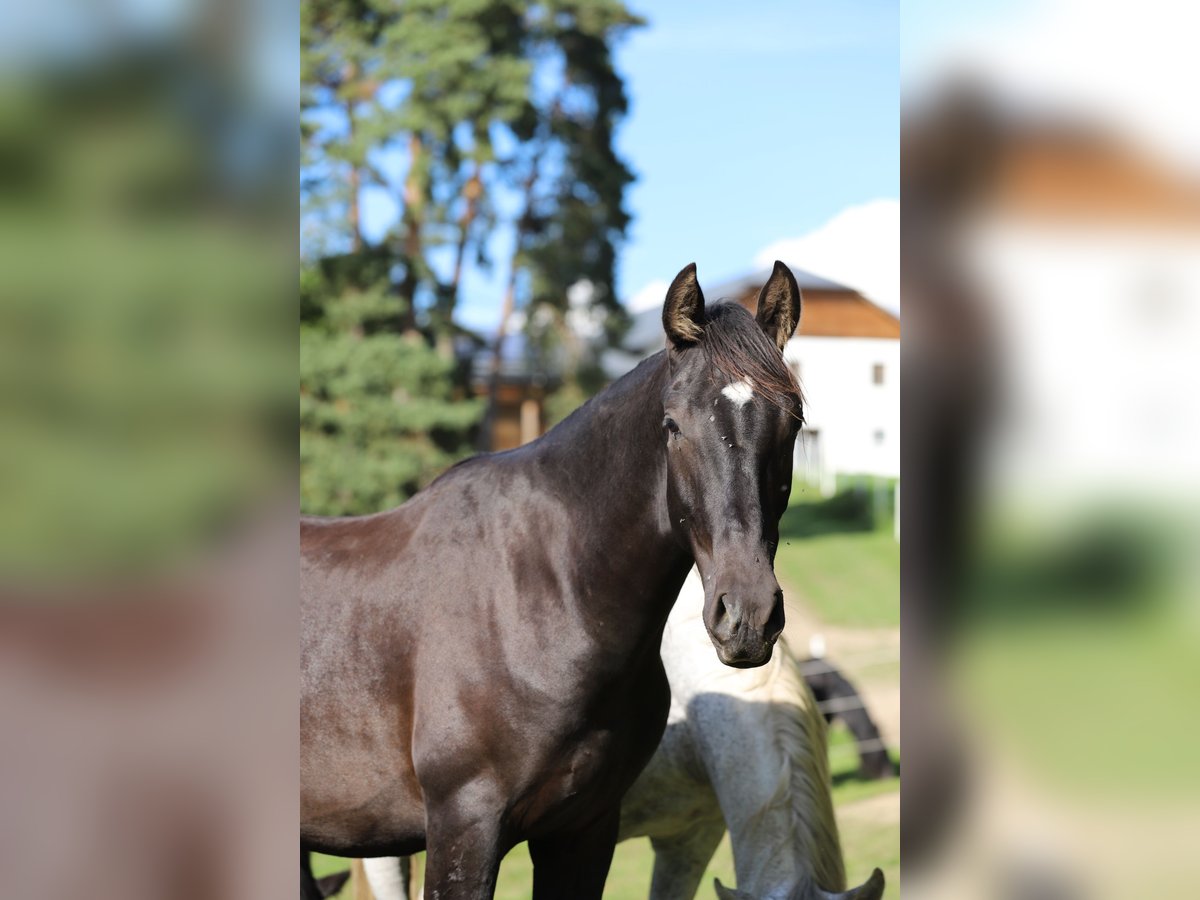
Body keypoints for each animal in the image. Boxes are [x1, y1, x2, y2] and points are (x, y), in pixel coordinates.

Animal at [301, 261, 806, 900]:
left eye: (791, 424)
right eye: (672, 426)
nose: (746, 616)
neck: (540, 599)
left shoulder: (584, 832)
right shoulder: (463, 830)